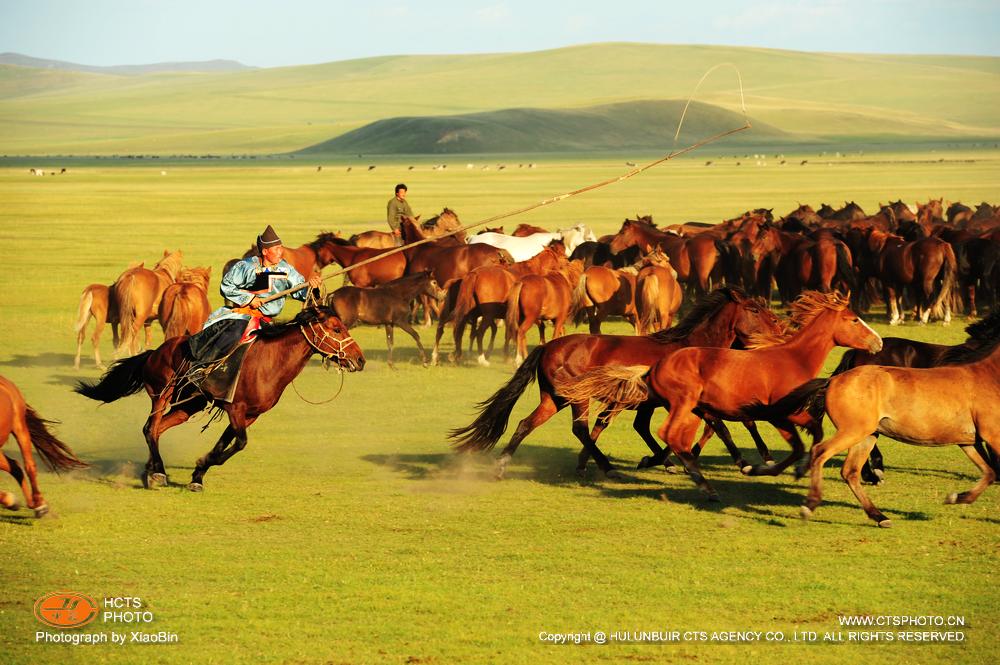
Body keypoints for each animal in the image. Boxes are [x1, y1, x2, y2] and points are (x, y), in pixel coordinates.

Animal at [75, 308, 364, 490]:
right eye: (336, 328)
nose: (359, 359)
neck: (269, 363)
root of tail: (155, 352)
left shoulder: (249, 414)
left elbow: (226, 444)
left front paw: (198, 475)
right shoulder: (236, 409)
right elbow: (240, 443)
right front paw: (200, 467)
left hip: (189, 404)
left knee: (157, 429)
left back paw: (149, 472)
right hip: (161, 393)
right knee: (149, 428)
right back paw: (158, 472)